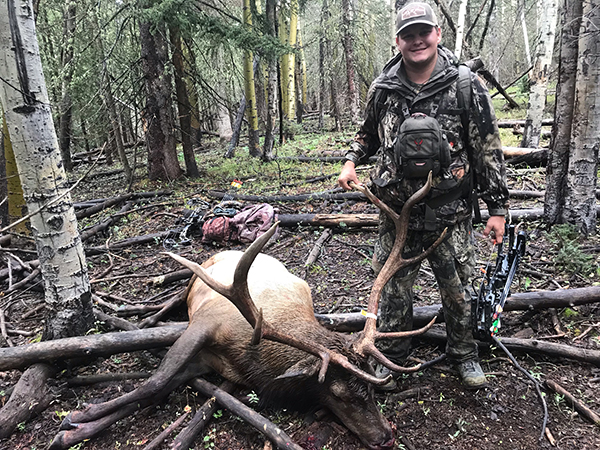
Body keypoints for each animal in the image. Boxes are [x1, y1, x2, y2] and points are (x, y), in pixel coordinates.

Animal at [49, 173, 446, 450]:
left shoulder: (212, 363)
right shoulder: (205, 323)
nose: (385, 437)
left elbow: (157, 389)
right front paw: (75, 418)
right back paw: (149, 311)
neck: (254, 361)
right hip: (198, 276)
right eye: (338, 393)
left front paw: (76, 427)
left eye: (373, 391)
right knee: (177, 293)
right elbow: (155, 381)